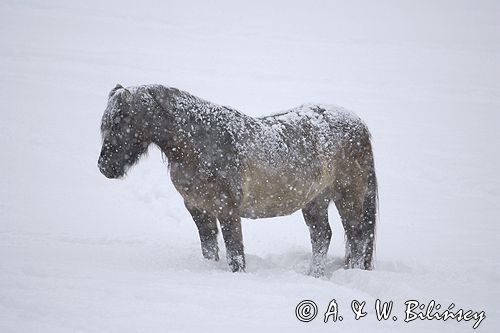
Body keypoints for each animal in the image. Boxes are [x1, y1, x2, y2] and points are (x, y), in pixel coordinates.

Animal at [98, 84, 378, 276]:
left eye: (120, 122)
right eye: (106, 124)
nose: (104, 167)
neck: (199, 144)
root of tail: (359, 124)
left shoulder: (228, 209)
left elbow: (234, 253)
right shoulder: (198, 208)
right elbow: (209, 248)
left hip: (348, 197)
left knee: (357, 237)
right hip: (315, 201)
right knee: (322, 236)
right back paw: (314, 276)